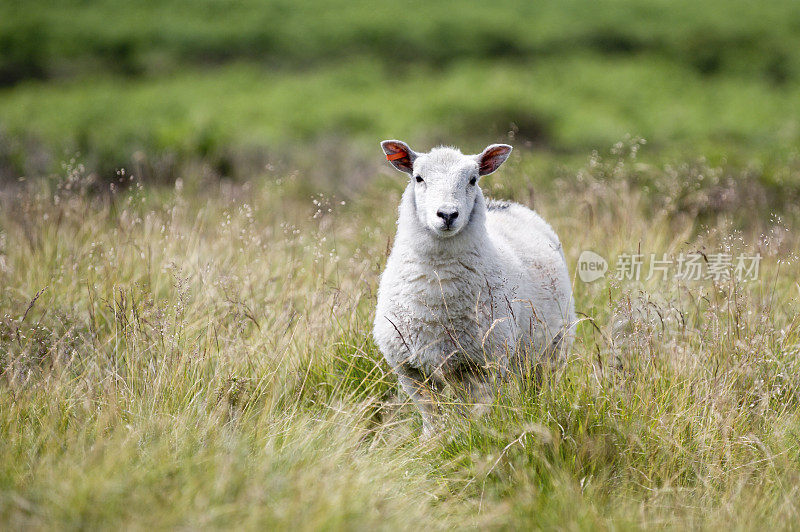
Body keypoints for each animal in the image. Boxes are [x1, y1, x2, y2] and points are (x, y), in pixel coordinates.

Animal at [376, 140, 576, 436]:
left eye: (473, 179)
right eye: (418, 178)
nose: (447, 214)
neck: (439, 284)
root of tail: (504, 204)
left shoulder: (482, 365)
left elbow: (471, 413)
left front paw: (468, 437)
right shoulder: (410, 369)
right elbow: (431, 415)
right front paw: (433, 441)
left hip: (551, 347)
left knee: (537, 385)